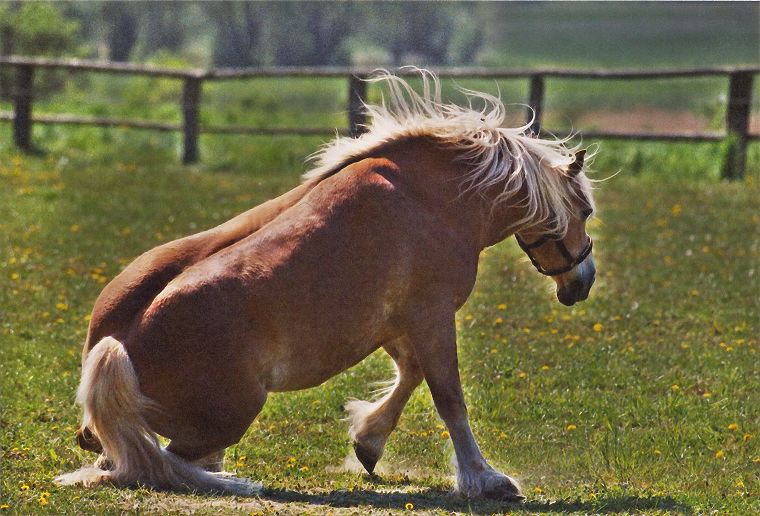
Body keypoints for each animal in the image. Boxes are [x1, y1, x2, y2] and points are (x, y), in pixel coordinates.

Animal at [56, 70, 596, 502]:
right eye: (586, 210)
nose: (581, 283)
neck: (430, 196)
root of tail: (116, 347)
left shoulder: (397, 324)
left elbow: (412, 374)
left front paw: (368, 442)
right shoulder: (431, 314)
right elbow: (449, 398)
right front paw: (485, 480)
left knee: (129, 461)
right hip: (234, 413)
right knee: (155, 465)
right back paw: (226, 480)